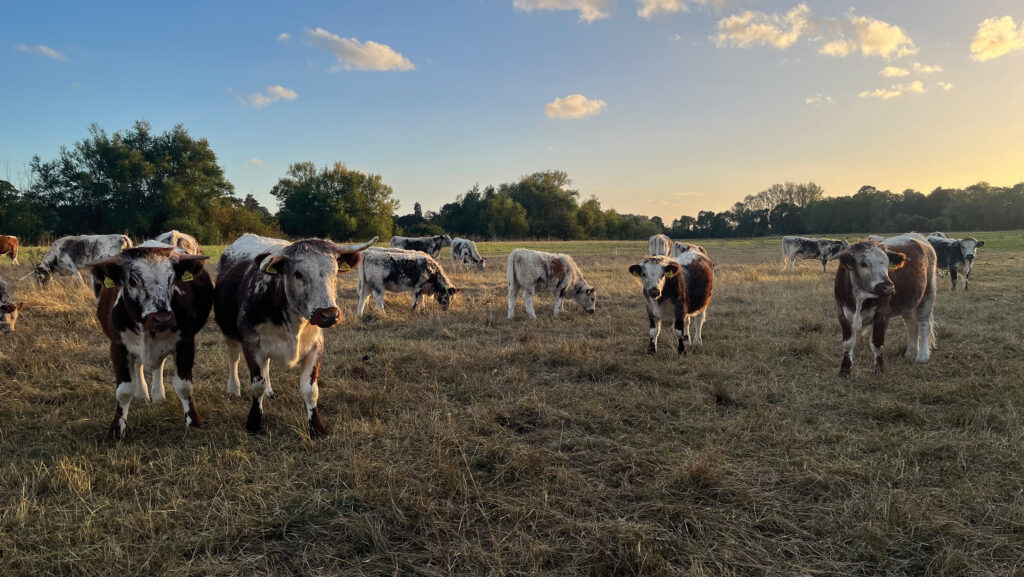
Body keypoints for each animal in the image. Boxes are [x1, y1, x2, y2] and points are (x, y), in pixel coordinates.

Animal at [89, 244, 213, 442]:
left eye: (172, 280)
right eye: (133, 282)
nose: (163, 319)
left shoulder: (186, 343)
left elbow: (184, 386)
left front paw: (194, 424)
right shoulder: (118, 347)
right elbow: (124, 391)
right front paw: (116, 431)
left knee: (157, 366)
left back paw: (157, 395)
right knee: (138, 365)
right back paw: (142, 394)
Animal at [214, 233, 376, 437]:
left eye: (335, 271)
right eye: (298, 274)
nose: (329, 315)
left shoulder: (316, 348)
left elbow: (310, 390)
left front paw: (316, 427)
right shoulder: (252, 345)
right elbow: (257, 385)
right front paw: (254, 422)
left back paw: (270, 391)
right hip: (229, 333)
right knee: (233, 359)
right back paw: (234, 388)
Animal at [834, 234, 936, 376]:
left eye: (888, 263)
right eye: (863, 264)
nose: (888, 288)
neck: (860, 297)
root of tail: (916, 235)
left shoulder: (882, 315)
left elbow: (877, 344)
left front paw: (879, 370)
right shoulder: (842, 313)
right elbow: (848, 344)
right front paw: (845, 370)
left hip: (927, 295)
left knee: (924, 323)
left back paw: (922, 355)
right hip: (909, 302)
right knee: (911, 325)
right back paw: (910, 352)